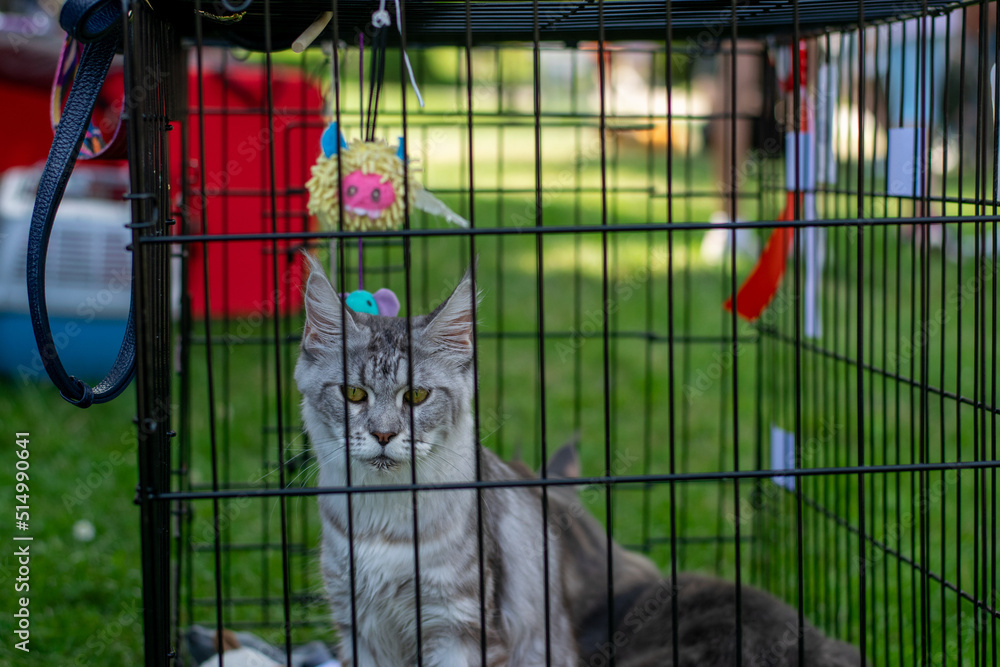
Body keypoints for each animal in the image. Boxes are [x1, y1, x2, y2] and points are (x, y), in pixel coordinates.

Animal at [292, 258, 580, 667]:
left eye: (416, 395)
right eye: (354, 393)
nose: (383, 434)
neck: (385, 515)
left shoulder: (460, 623)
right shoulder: (358, 621)